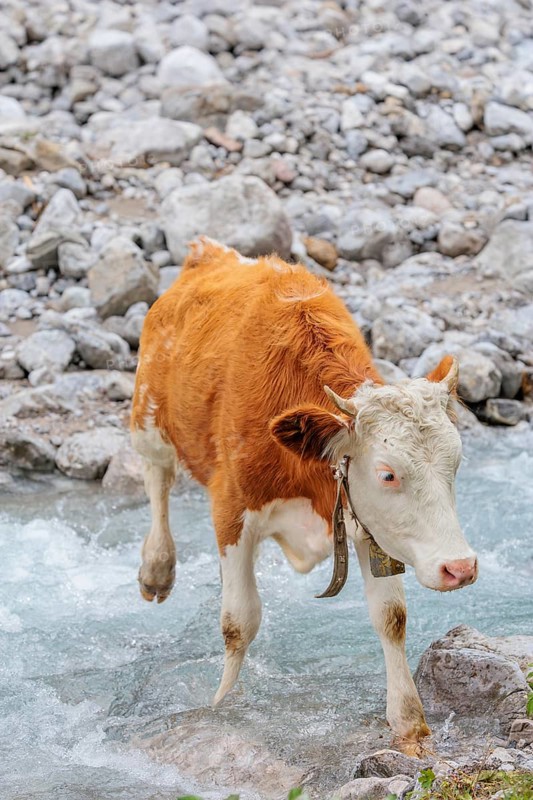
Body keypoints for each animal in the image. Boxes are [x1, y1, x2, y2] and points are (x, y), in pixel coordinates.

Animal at [131, 236, 478, 753]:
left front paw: (409, 726)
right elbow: (239, 620)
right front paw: (220, 706)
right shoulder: (230, 508)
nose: (461, 567)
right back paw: (156, 568)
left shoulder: (361, 521)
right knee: (157, 480)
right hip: (148, 416)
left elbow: (391, 616)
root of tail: (211, 253)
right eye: (388, 474)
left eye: (455, 461)